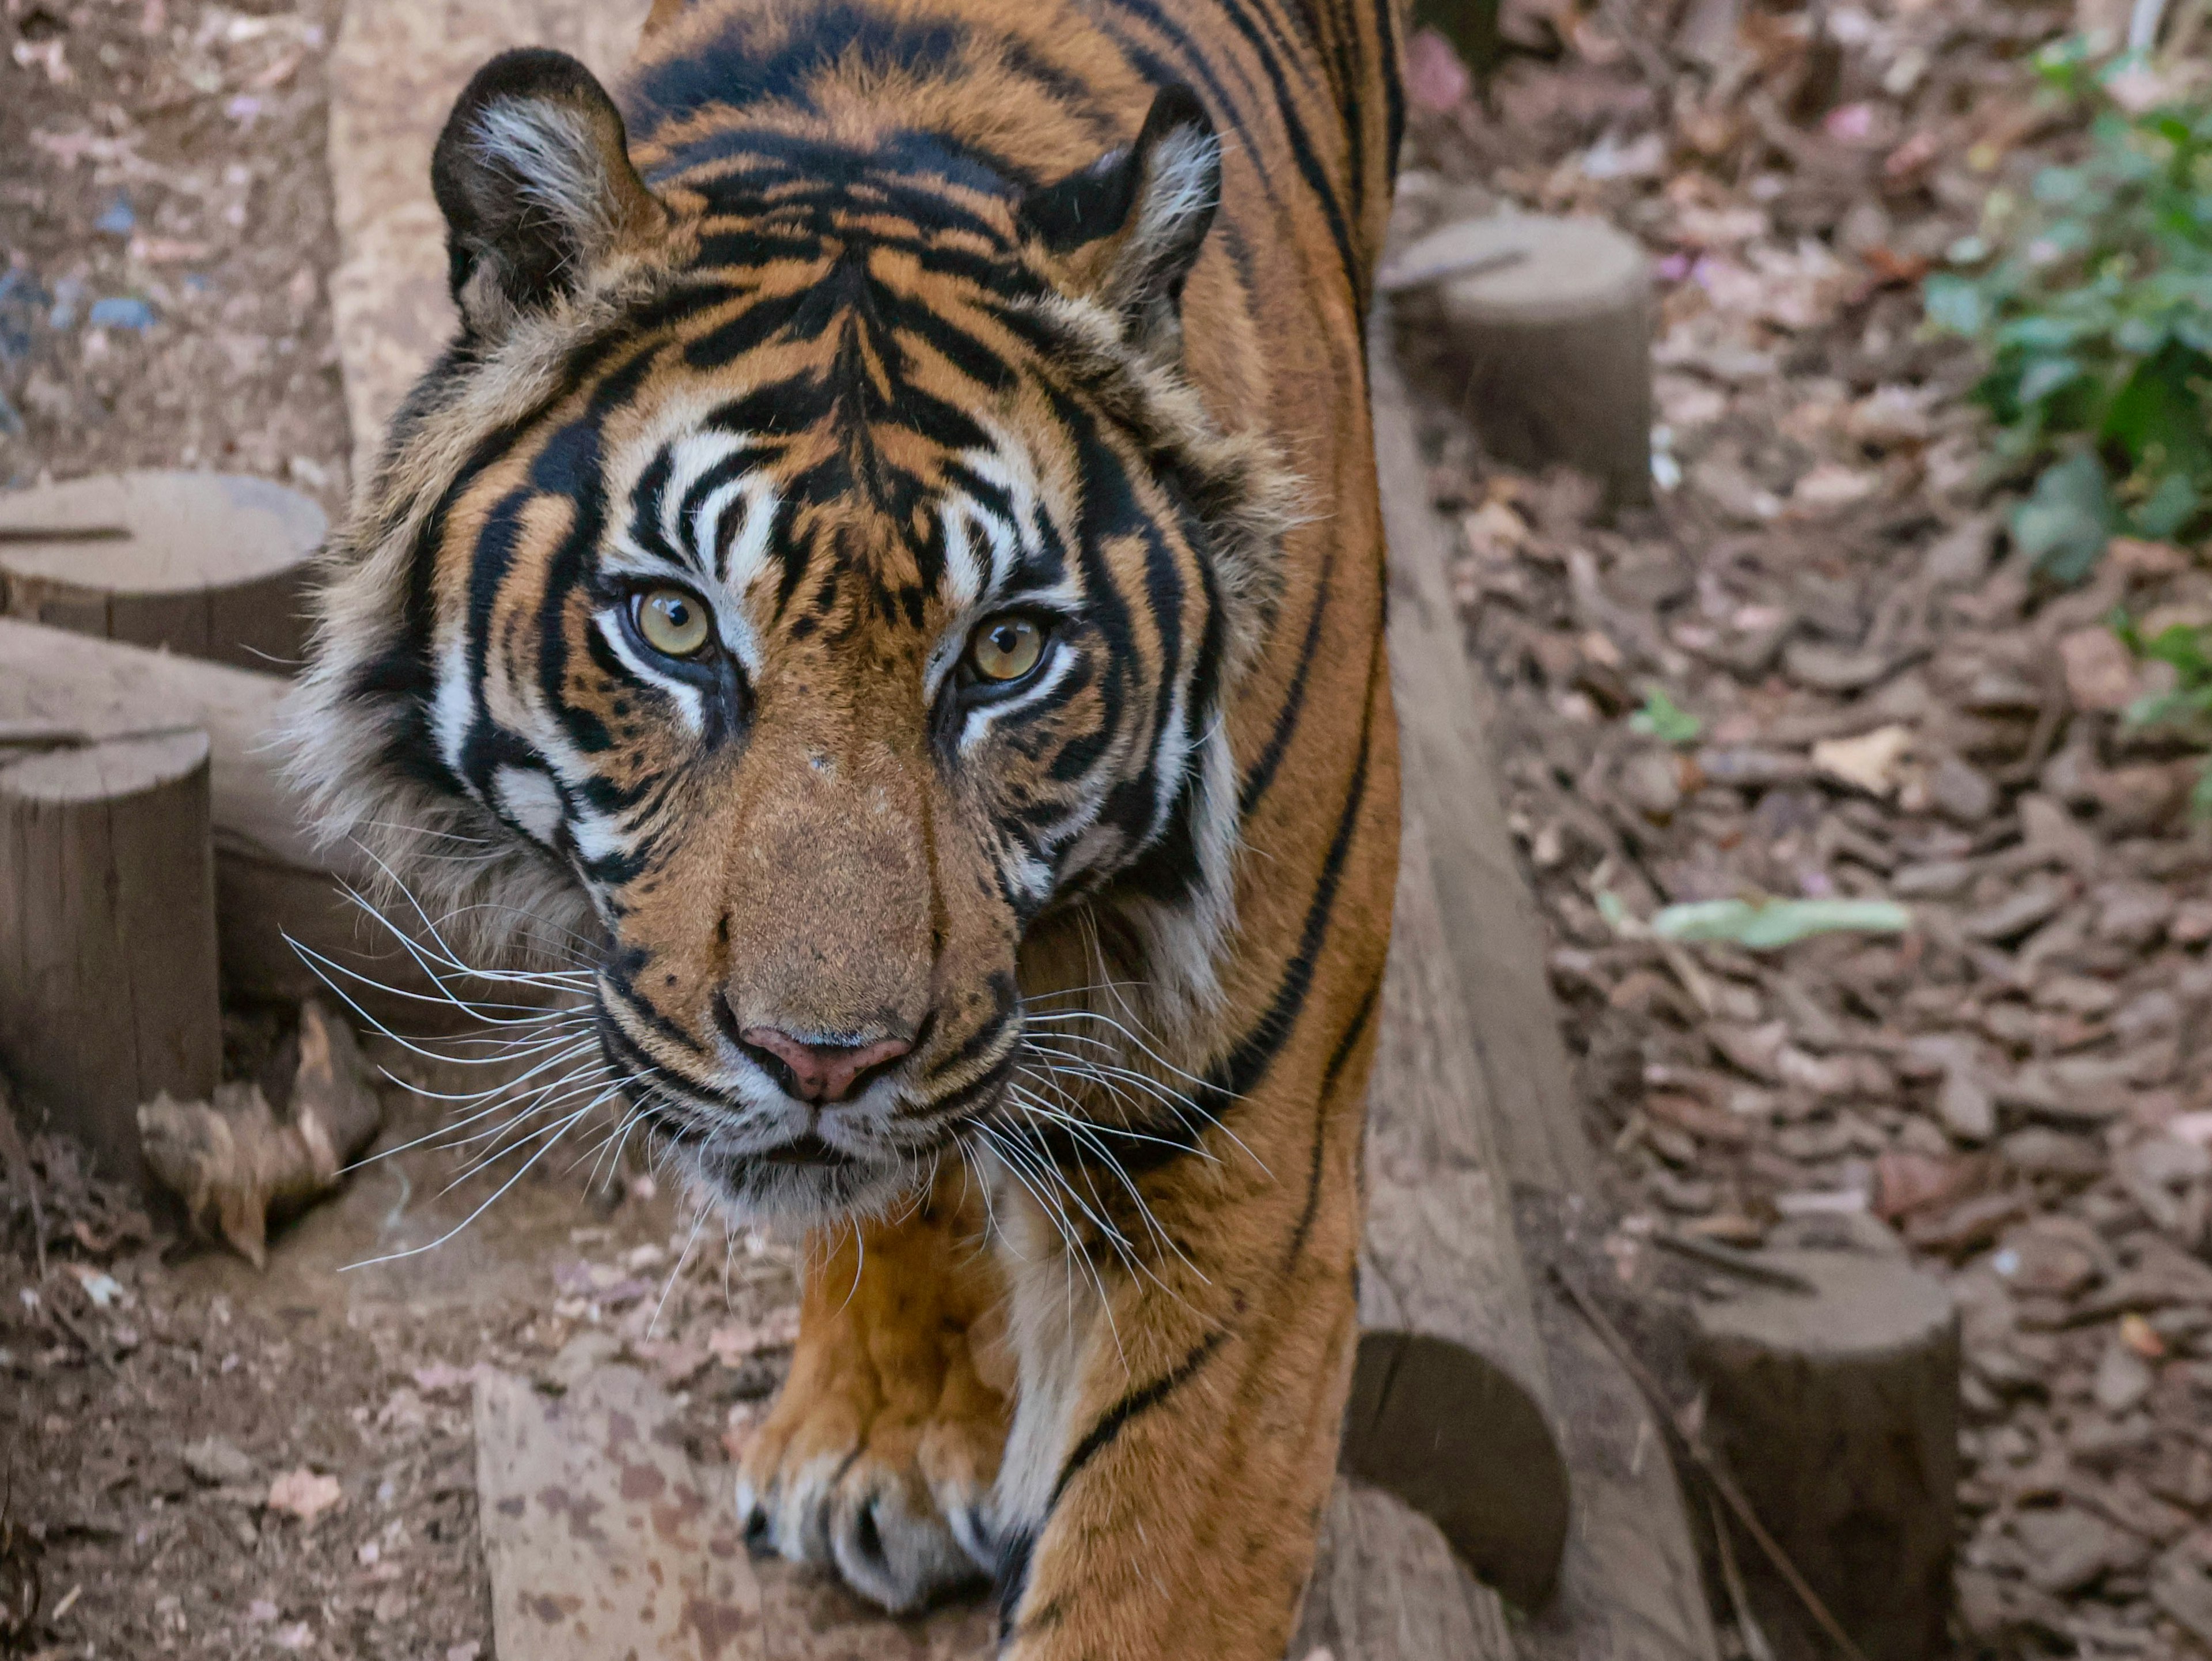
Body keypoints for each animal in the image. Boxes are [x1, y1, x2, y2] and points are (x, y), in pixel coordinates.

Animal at [290, 0, 1397, 1654]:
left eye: (1007, 651)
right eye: (674, 624)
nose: (823, 1060)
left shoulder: (1245, 1177)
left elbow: (1147, 1575)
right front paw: (888, 1415)